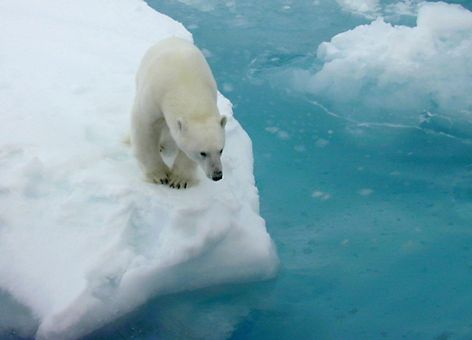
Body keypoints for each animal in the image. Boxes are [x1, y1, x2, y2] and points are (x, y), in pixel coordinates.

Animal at [131, 37, 227, 189]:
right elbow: (144, 127)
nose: (217, 175)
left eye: (221, 150)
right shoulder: (154, 96)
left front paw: (179, 180)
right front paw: (159, 176)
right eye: (202, 153)